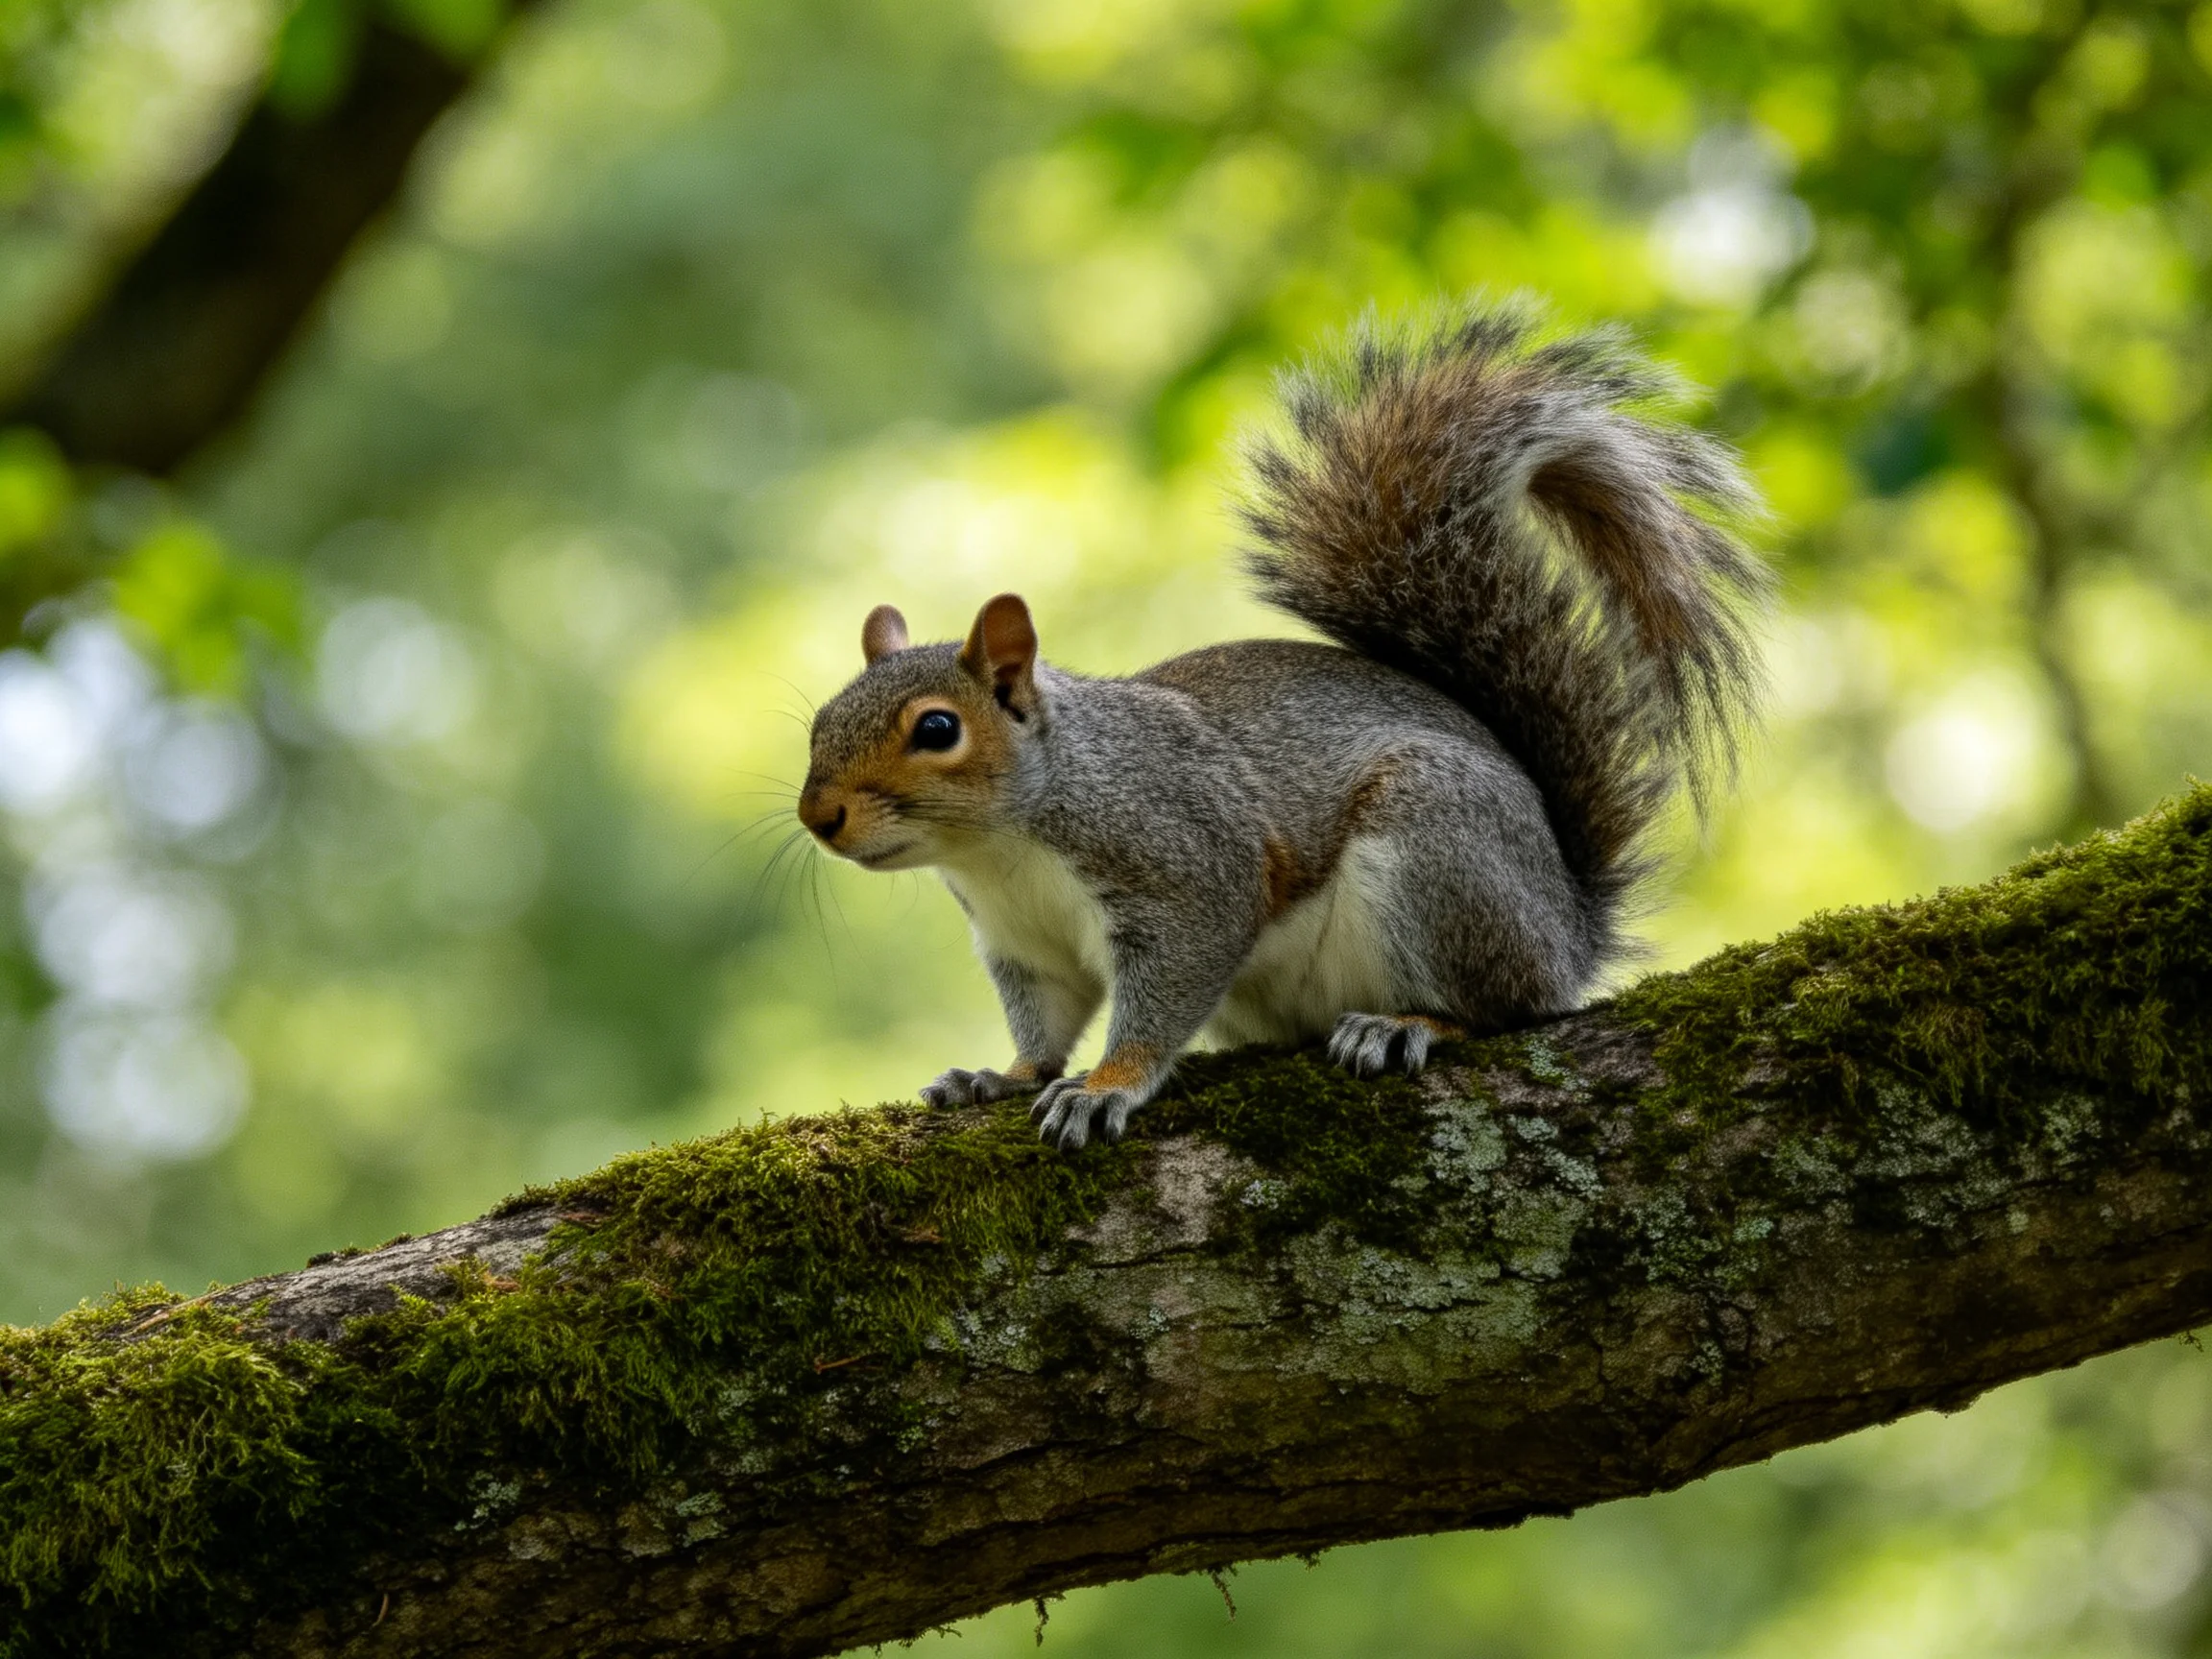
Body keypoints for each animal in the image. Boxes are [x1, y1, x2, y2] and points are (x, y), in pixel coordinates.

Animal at [798, 302, 1769, 1152]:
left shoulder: (1185, 869)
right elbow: (1045, 1020)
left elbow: (1163, 992)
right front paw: (1000, 1077)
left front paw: (1107, 1086)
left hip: (1438, 850)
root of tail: (1568, 927)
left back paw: (1405, 1025)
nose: (818, 817)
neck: (1003, 847)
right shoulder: (1022, 945)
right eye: (818, 722)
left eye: (936, 730)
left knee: (1501, 1006)